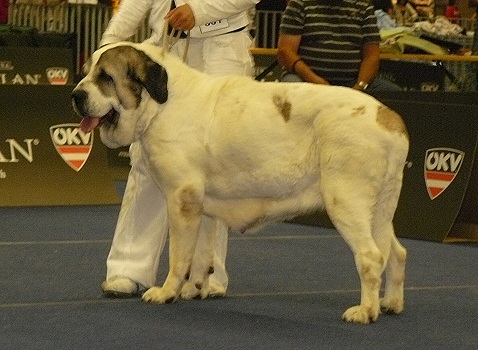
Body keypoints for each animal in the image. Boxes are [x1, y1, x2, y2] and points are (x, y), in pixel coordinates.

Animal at [73, 42, 408, 324]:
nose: (76, 95)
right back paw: (390, 303)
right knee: (396, 252)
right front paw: (194, 288)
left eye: (105, 77)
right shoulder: (202, 205)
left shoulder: (182, 199)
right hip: (380, 209)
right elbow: (201, 254)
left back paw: (365, 311)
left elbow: (179, 256)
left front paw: (167, 292)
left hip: (346, 200)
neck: (162, 103)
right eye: (86, 71)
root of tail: (388, 116)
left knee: (371, 256)